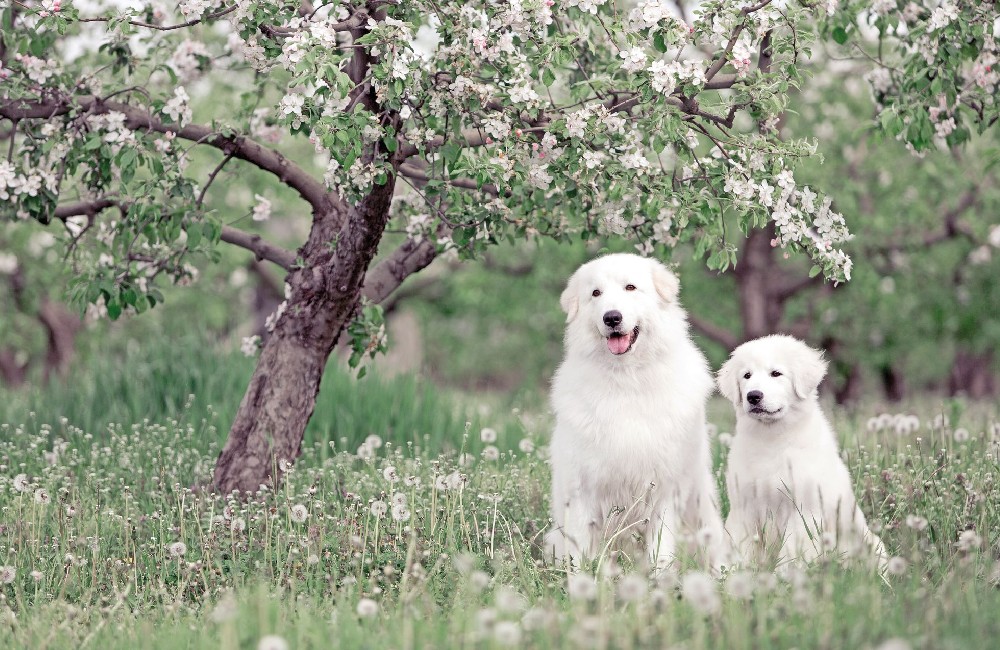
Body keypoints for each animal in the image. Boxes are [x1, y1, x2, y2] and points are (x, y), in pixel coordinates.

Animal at [552, 252, 724, 568]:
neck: (627, 381)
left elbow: (660, 551)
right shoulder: (582, 490)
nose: (612, 317)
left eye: (630, 287)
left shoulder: (665, 491)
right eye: (596, 293)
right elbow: (580, 553)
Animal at [720, 336, 884, 564]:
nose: (753, 396)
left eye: (776, 373)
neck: (771, 439)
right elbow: (739, 548)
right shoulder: (743, 507)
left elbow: (791, 552)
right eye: (747, 376)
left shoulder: (804, 509)